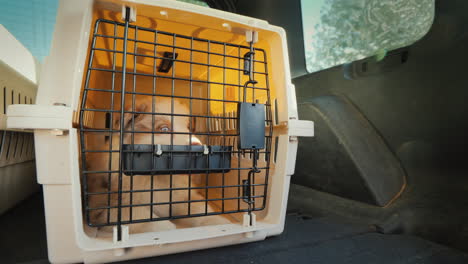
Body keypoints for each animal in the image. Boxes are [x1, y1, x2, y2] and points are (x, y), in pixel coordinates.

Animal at [86, 96, 232, 233]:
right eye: (164, 129)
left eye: (188, 128)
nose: (199, 147)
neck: (158, 177)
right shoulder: (107, 205)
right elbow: (149, 220)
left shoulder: (184, 196)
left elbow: (201, 209)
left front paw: (221, 224)